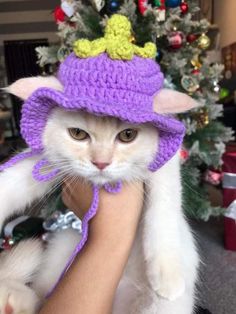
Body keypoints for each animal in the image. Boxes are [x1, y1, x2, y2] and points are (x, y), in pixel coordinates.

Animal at [0, 76, 199, 314]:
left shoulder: (165, 166)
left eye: (128, 135)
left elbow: (163, 207)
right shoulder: (52, 158)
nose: (101, 162)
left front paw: (167, 273)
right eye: (77, 134)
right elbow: (16, 179)